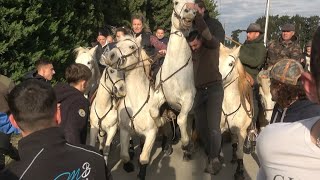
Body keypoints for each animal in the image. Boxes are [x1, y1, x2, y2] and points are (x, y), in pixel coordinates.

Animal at [149, 0, 196, 159]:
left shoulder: (188, 99)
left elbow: (182, 119)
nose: (190, 12)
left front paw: (185, 143)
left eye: (195, 3)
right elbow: (154, 112)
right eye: (176, 2)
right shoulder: (161, 95)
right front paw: (160, 122)